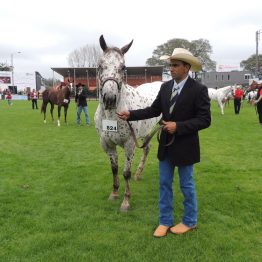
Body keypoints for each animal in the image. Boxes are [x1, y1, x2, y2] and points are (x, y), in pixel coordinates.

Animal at [94, 34, 162, 211]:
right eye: (100, 65)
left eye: (123, 67)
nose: (110, 98)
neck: (112, 114)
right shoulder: (107, 144)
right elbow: (114, 169)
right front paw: (114, 193)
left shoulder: (130, 144)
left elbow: (125, 173)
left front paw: (125, 201)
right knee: (147, 148)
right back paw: (138, 174)